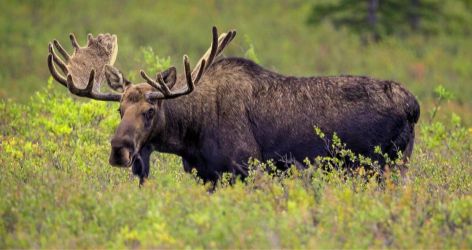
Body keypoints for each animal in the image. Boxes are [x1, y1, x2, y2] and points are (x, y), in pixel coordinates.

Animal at [46, 26, 418, 185]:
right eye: (120, 110)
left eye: (150, 112)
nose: (119, 150)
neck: (190, 138)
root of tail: (413, 106)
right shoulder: (206, 175)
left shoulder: (246, 168)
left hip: (382, 166)